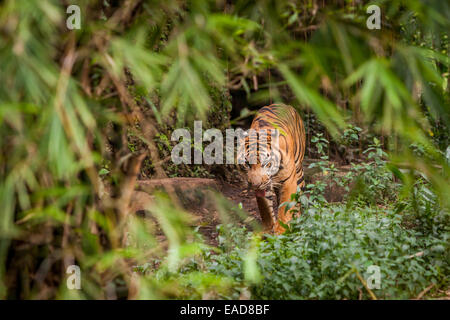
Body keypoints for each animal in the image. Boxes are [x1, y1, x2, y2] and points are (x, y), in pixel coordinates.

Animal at [237, 104, 308, 234]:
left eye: (266, 163)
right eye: (247, 164)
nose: (255, 184)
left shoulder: (289, 181)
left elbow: (285, 207)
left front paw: (281, 231)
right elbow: (265, 208)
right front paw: (267, 230)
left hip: (299, 171)